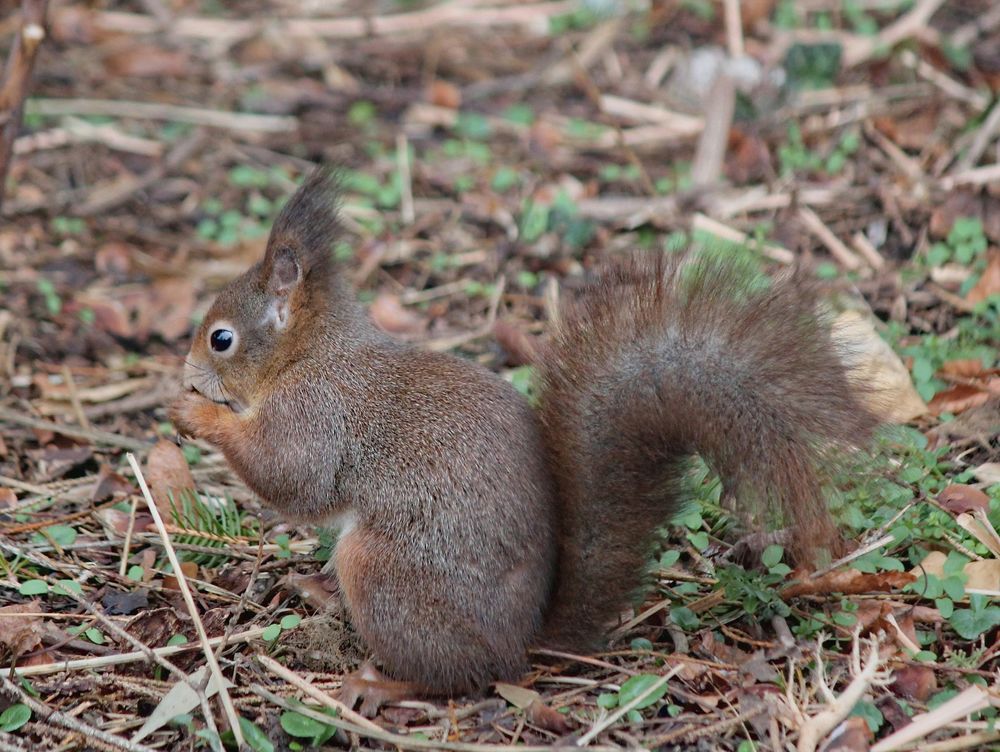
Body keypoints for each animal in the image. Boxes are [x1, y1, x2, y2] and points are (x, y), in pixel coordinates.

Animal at [170, 167, 879, 709]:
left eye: (221, 338)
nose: (187, 372)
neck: (309, 353)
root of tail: (521, 641)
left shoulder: (314, 414)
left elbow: (290, 476)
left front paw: (197, 415)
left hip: (387, 573)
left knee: (455, 676)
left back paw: (382, 682)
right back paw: (317, 591)